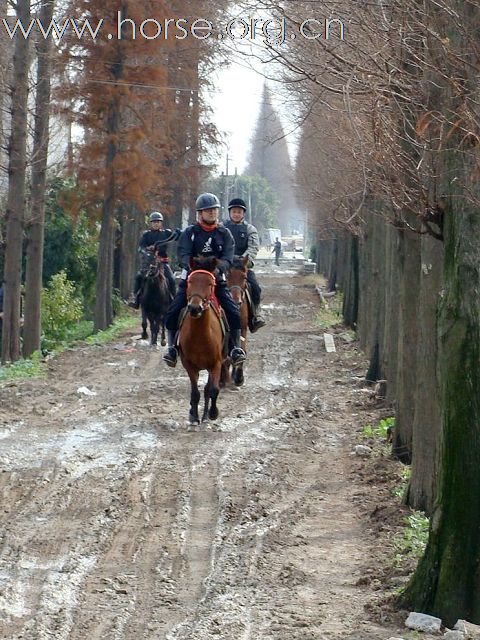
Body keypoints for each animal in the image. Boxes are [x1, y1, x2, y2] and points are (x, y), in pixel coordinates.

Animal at [179, 255, 226, 424]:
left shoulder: (216, 363)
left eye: (210, 283)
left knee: (208, 389)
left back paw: (206, 414)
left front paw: (213, 413)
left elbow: (213, 390)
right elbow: (195, 392)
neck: (200, 337)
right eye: (190, 282)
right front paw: (193, 416)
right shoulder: (188, 364)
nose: (195, 308)